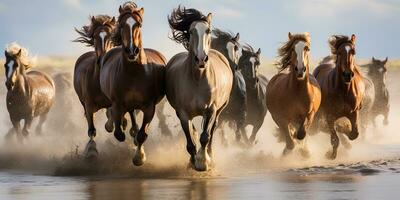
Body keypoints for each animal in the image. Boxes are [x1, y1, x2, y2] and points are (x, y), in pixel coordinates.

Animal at [72, 14, 121, 159]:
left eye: (111, 36)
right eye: (94, 37)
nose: (102, 58)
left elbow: (111, 114)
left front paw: (111, 126)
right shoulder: (88, 105)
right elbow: (92, 129)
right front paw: (91, 151)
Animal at [101, 1, 167, 166]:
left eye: (139, 24)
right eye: (121, 24)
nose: (132, 51)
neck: (134, 73)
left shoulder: (149, 107)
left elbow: (143, 134)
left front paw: (139, 157)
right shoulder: (117, 103)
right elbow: (119, 133)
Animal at [166, 7, 234, 171]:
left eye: (208, 30)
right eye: (191, 31)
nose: (201, 59)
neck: (198, 79)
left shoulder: (210, 110)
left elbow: (205, 137)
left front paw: (203, 162)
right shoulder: (183, 114)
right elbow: (190, 142)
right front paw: (193, 162)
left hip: (220, 109)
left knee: (213, 129)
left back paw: (210, 155)